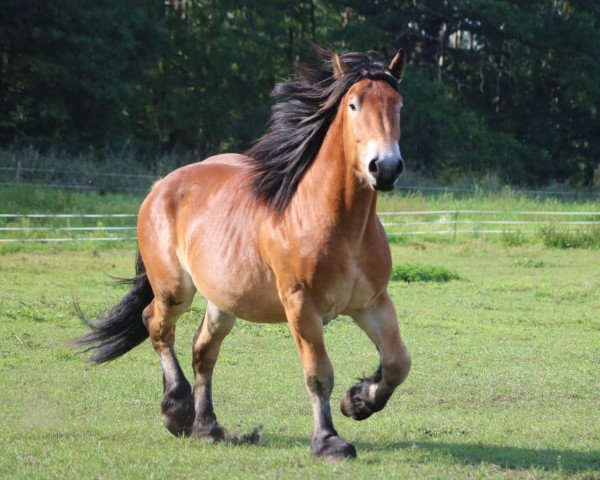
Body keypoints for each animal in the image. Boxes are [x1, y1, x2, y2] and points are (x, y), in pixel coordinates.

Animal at [74, 48, 412, 462]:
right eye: (353, 105)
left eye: (398, 105)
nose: (386, 167)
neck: (336, 223)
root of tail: (160, 186)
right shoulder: (302, 307)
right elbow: (318, 373)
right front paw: (329, 441)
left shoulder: (372, 302)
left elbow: (397, 362)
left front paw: (359, 400)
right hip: (174, 291)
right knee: (156, 324)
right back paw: (177, 411)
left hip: (223, 301)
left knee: (203, 350)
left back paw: (207, 428)